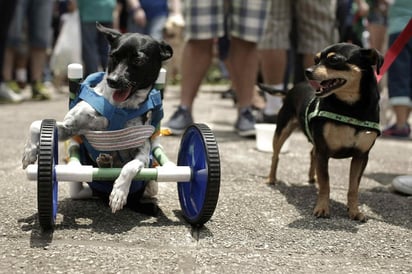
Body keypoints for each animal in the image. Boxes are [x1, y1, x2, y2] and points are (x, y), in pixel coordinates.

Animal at [21, 23, 173, 214]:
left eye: (138, 60)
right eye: (113, 56)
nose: (112, 80)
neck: (117, 108)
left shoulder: (143, 151)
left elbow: (129, 167)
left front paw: (119, 193)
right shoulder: (70, 128)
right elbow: (35, 124)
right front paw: (29, 152)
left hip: (149, 181)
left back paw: (107, 164)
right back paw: (104, 161)